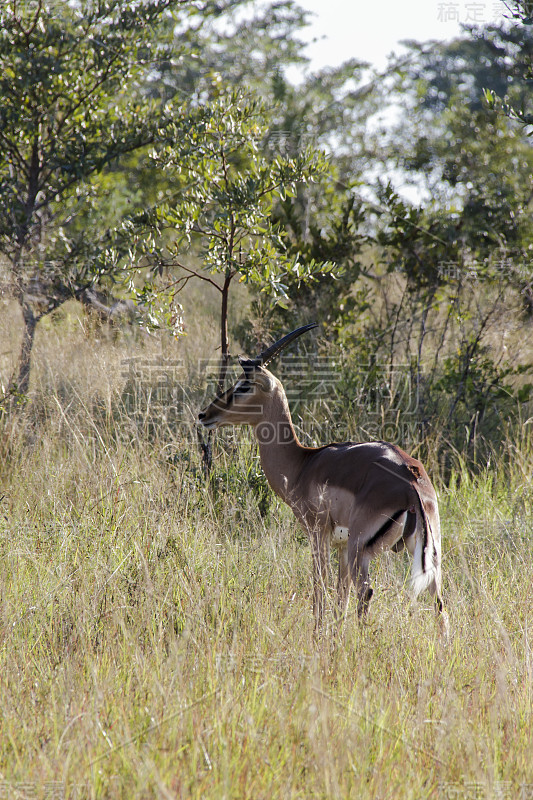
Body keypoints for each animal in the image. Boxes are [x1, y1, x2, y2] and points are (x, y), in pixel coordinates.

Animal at [197, 324, 446, 632]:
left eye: (244, 385)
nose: (205, 414)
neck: (303, 463)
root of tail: (413, 488)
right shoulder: (339, 545)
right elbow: (340, 595)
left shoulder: (318, 534)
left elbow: (320, 584)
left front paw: (318, 634)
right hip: (427, 554)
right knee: (438, 603)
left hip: (360, 550)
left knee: (366, 591)